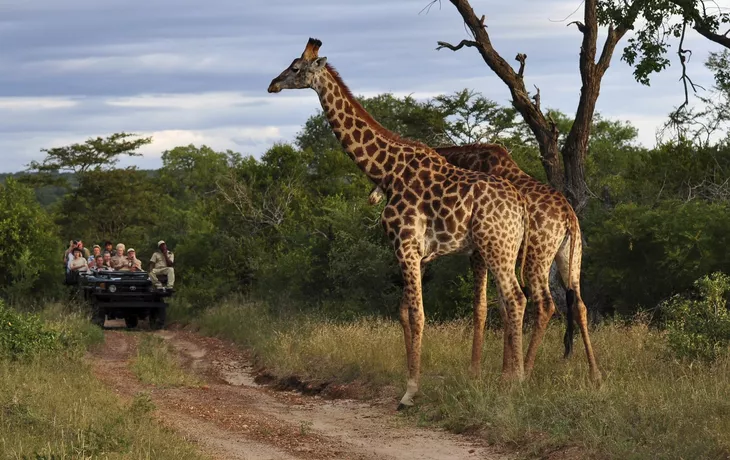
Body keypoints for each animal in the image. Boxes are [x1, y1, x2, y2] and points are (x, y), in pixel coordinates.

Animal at [268, 37, 528, 408]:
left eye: (295, 68)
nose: (272, 85)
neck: (386, 170)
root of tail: (519, 207)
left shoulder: (405, 246)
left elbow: (418, 315)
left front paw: (410, 392)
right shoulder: (414, 252)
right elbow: (404, 313)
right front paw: (409, 383)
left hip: (496, 247)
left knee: (516, 299)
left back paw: (516, 382)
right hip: (500, 249)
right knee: (508, 303)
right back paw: (510, 377)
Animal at [366, 145, 600, 384]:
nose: (372, 197)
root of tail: (569, 217)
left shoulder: (479, 253)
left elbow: (487, 306)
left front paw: (488, 371)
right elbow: (504, 308)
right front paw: (505, 371)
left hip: (537, 256)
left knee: (545, 304)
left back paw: (527, 368)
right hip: (570, 256)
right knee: (579, 304)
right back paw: (595, 373)